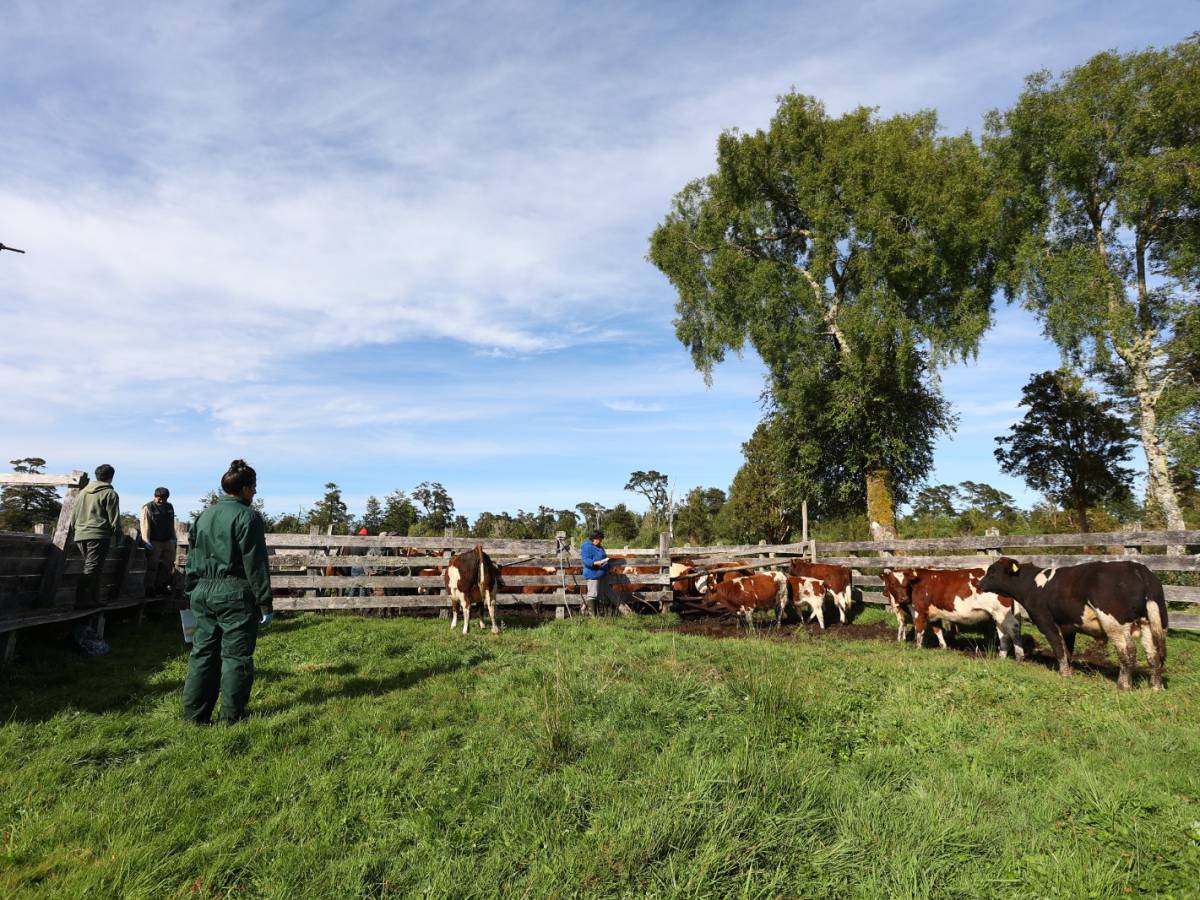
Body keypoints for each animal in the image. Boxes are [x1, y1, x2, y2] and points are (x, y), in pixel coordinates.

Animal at [878, 571, 1027, 662]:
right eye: (892, 583)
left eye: (906, 583)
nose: (903, 598)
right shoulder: (934, 614)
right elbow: (938, 630)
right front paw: (943, 647)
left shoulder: (919, 611)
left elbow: (919, 631)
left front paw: (918, 648)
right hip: (998, 615)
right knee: (1003, 633)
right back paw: (1001, 655)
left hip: (1002, 612)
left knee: (1013, 628)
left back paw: (1019, 656)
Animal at [979, 556, 1166, 691]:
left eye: (992, 571)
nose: (980, 584)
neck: (1033, 584)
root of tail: (1138, 568)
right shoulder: (1068, 626)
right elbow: (1068, 650)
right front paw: (1070, 671)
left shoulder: (1046, 621)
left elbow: (1058, 647)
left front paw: (1064, 674)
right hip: (1149, 623)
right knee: (1153, 653)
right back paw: (1156, 686)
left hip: (1115, 624)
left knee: (1129, 651)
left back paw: (1123, 685)